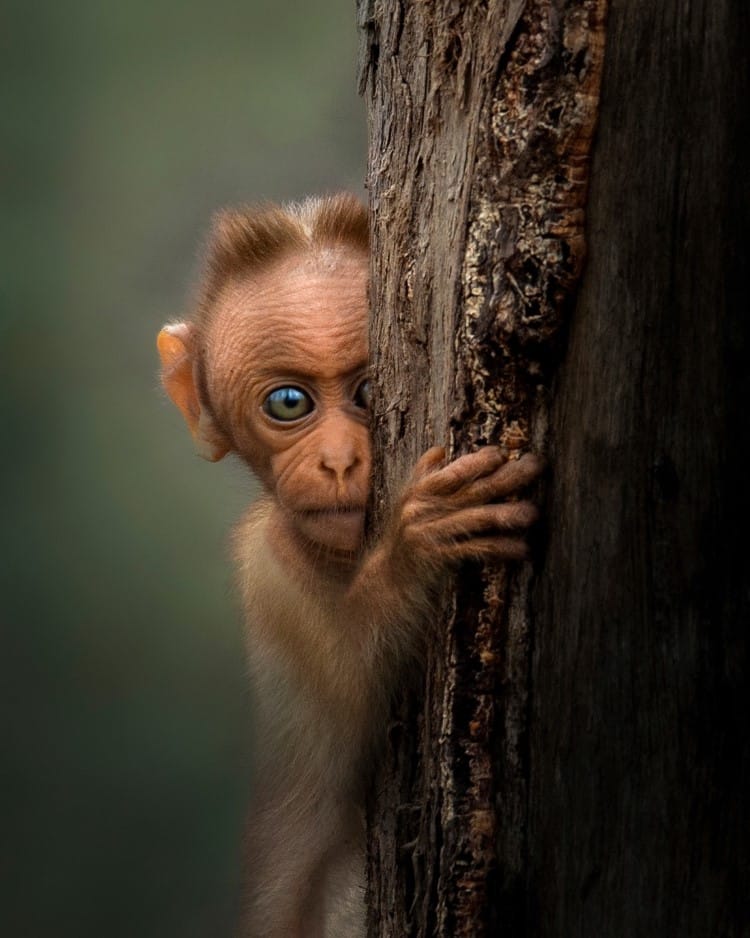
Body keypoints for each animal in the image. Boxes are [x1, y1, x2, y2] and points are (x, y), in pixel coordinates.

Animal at [159, 194, 544, 932]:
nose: (339, 461)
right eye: (289, 403)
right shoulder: (268, 566)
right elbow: (350, 691)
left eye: (370, 392)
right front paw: (414, 550)